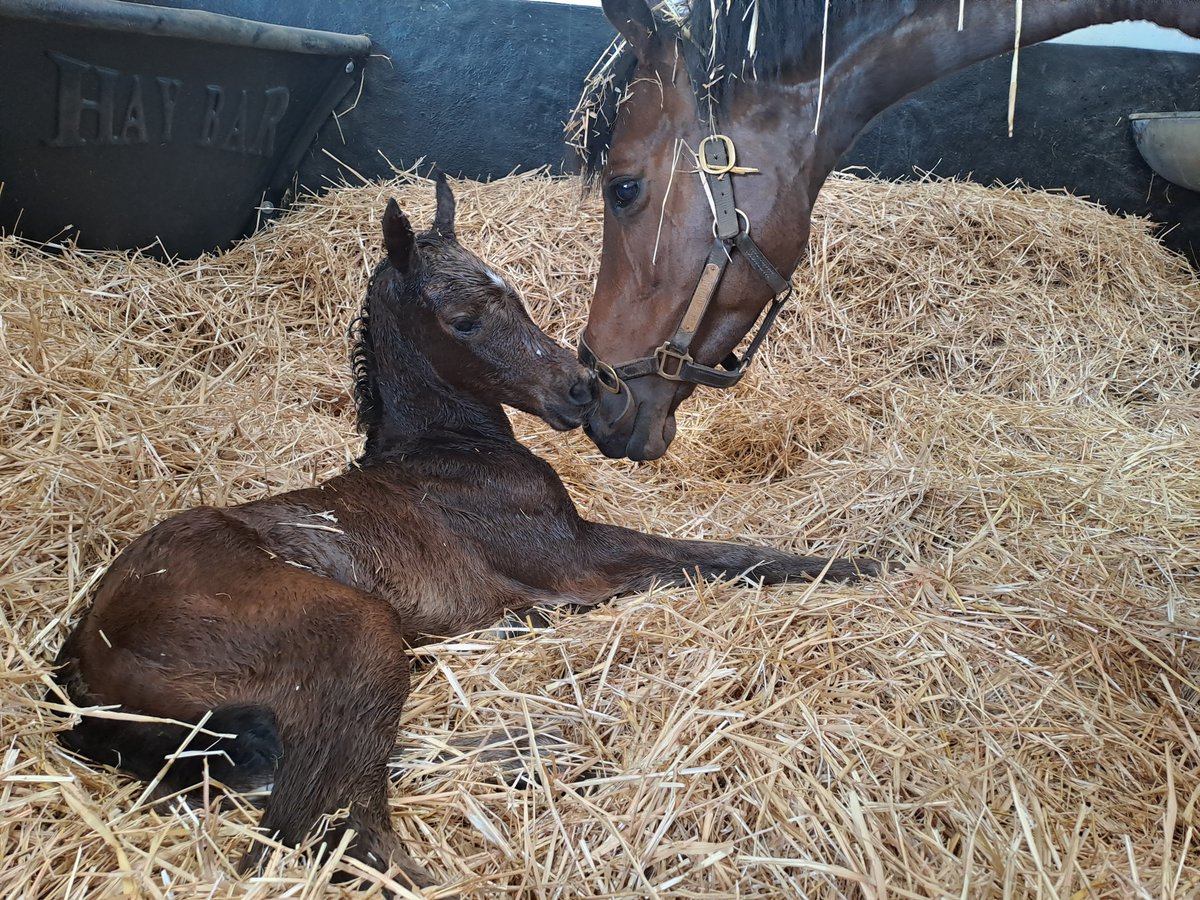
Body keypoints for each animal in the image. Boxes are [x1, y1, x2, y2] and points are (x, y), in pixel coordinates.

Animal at [50, 176, 881, 891]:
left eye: (513, 295)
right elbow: (706, 555)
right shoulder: (576, 559)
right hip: (355, 627)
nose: (582, 390)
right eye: (463, 321)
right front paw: (862, 563)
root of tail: (83, 652)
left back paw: (548, 748)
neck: (450, 453)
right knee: (325, 823)